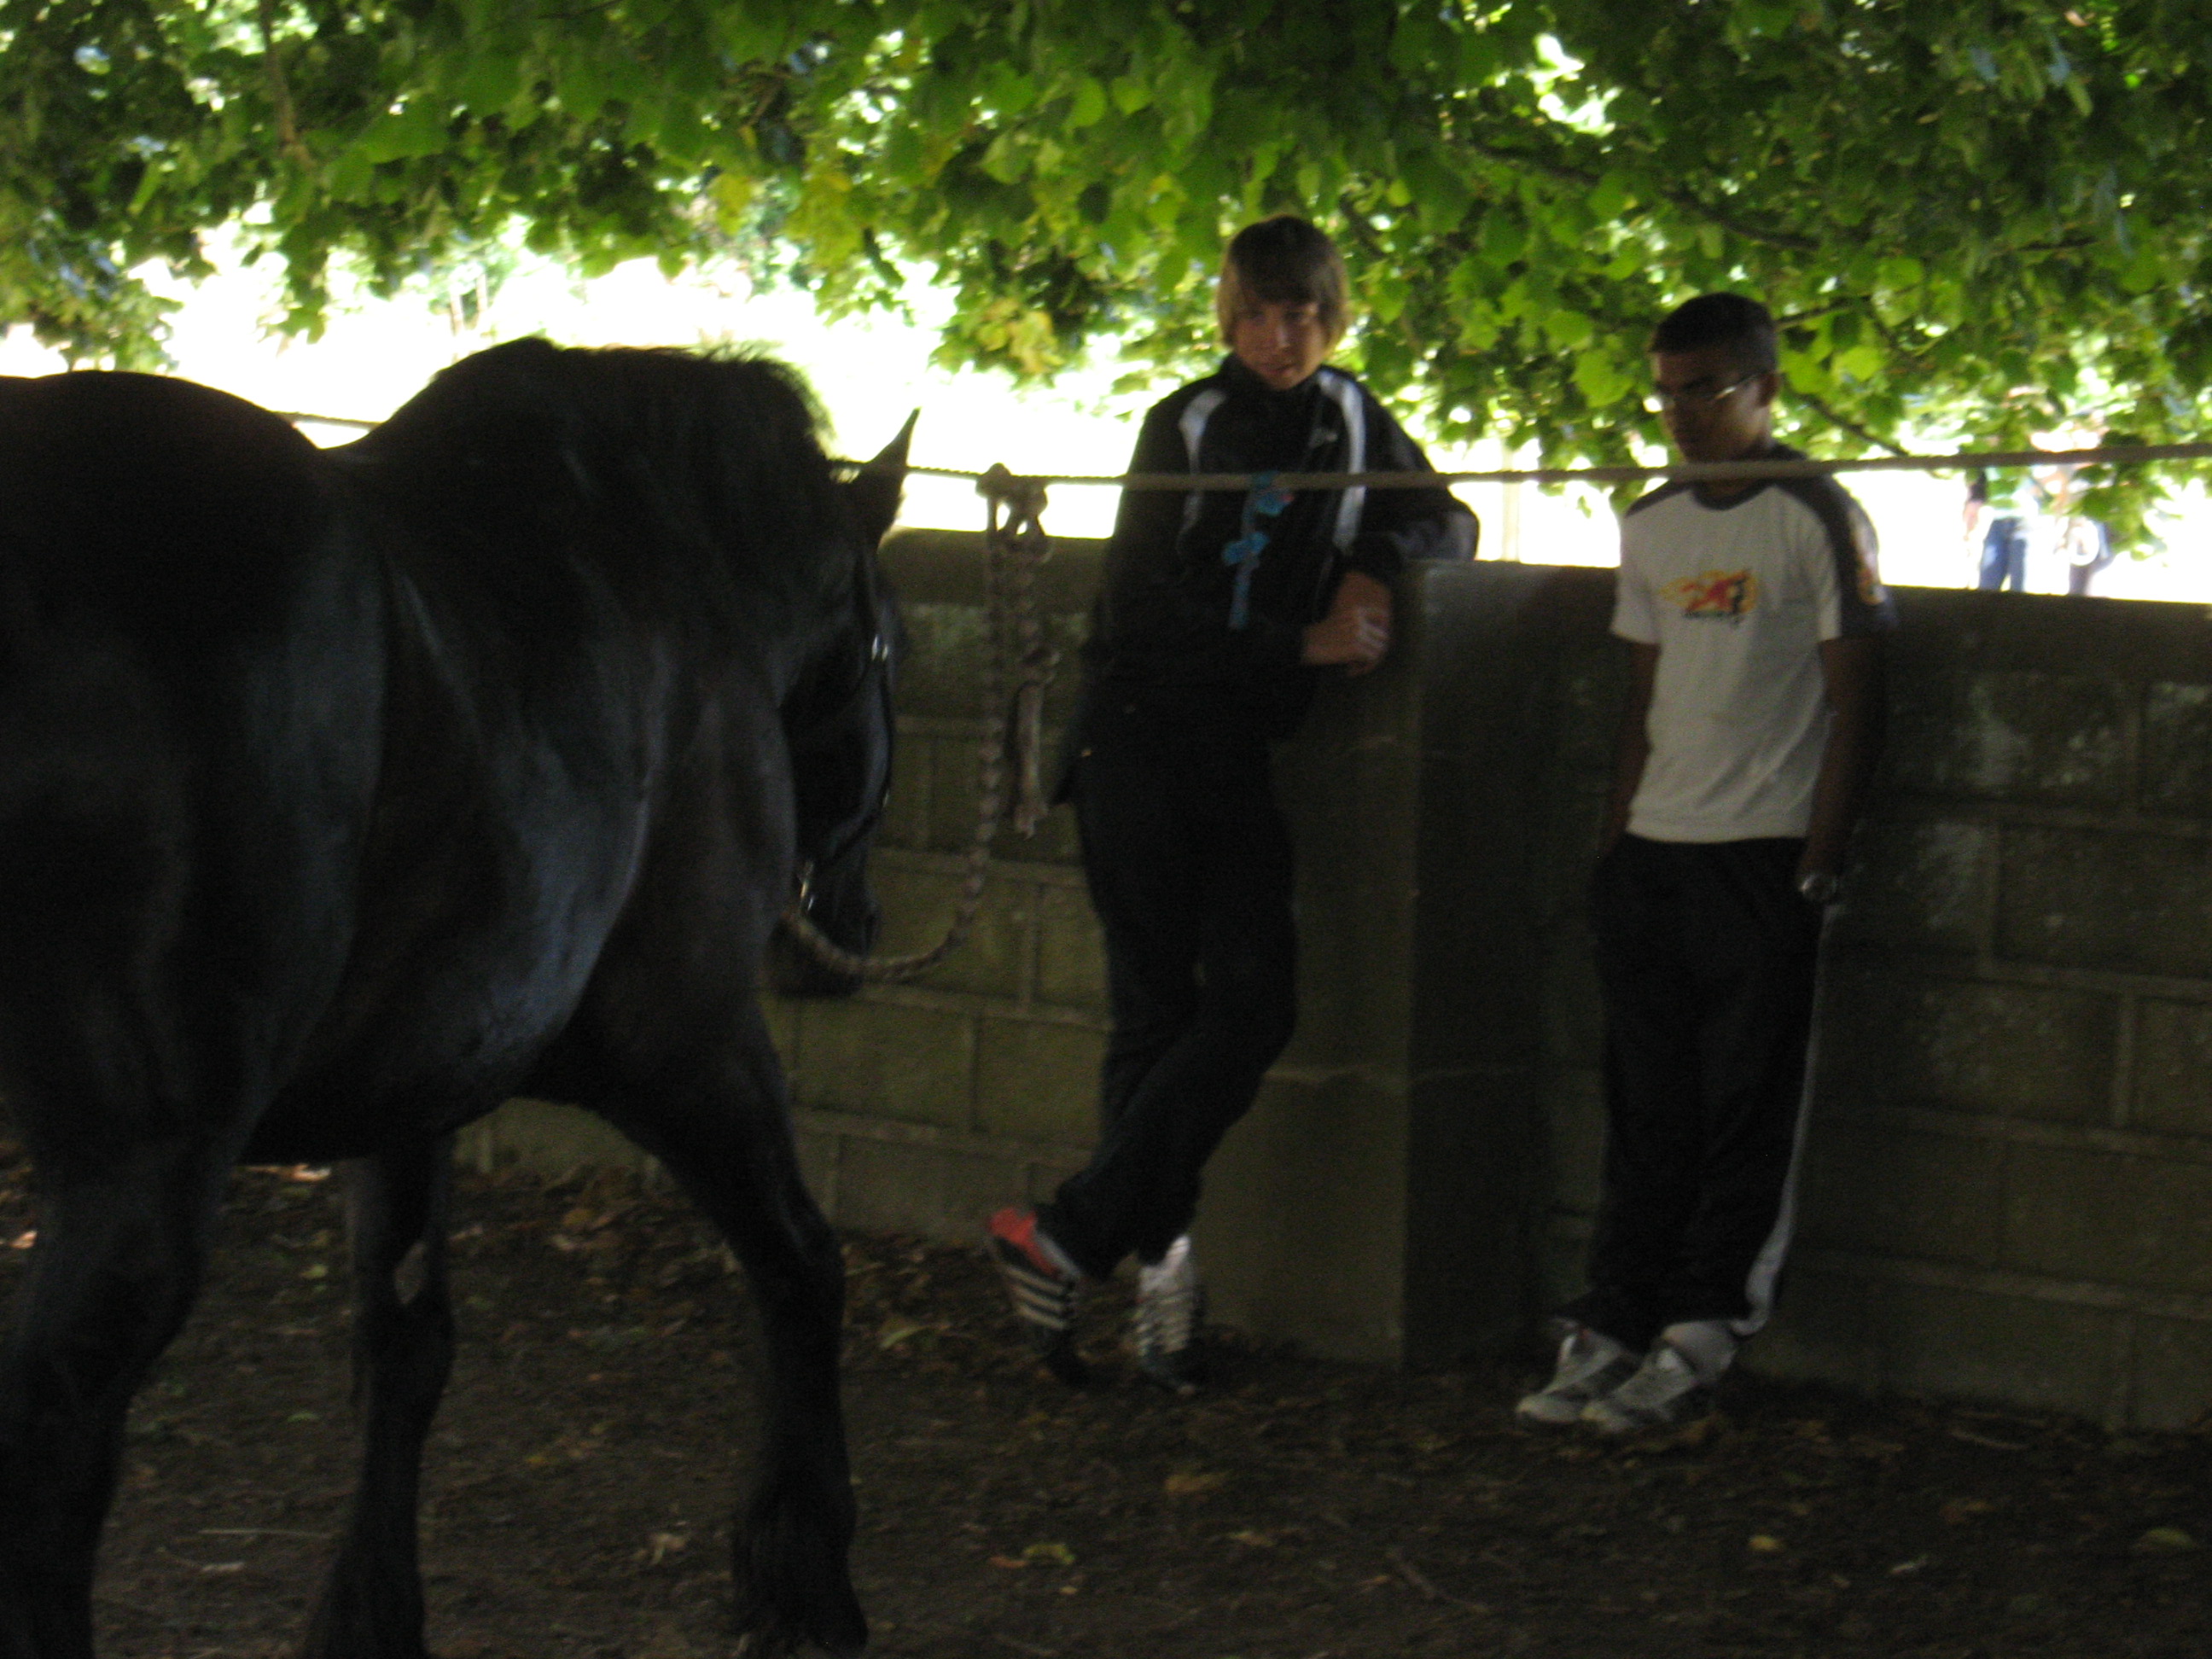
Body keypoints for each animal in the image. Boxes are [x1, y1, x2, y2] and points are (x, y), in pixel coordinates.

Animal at [0, 335, 908, 1659]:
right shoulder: (689, 1042)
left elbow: (405, 1343)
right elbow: (801, 1260)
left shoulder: (402, 1089)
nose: (851, 924)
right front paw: (805, 1575)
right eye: (893, 652)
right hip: (146, 1168)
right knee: (58, 1425)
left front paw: (368, 1616)